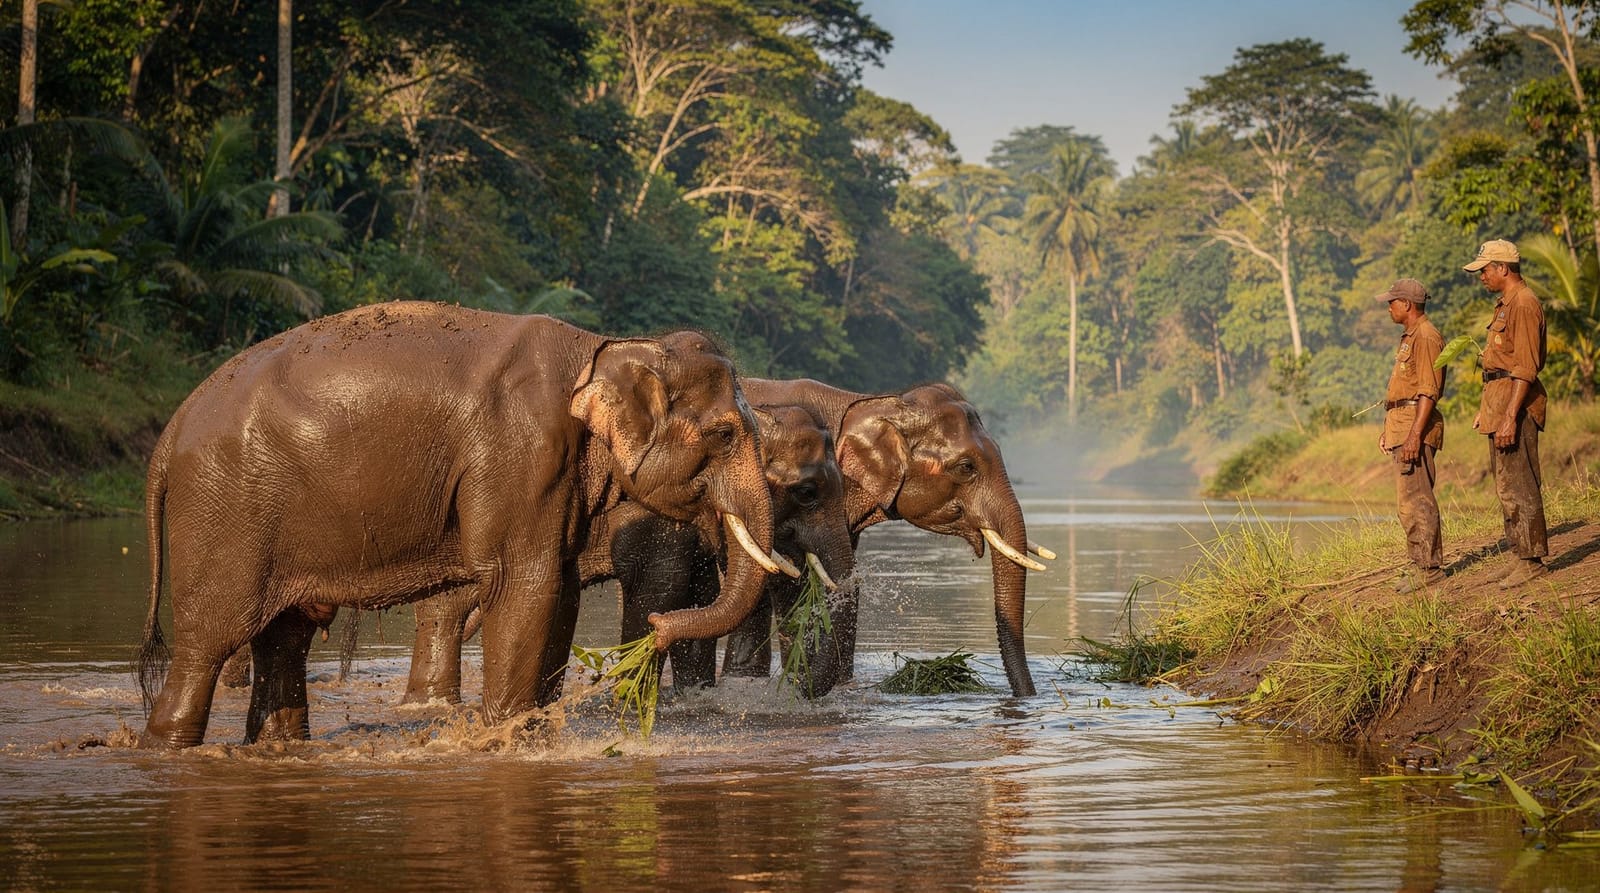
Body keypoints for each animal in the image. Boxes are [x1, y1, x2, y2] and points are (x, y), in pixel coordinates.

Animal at [135, 301, 778, 748]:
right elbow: (524, 587)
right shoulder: (522, 451)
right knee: (209, 643)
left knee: (283, 637)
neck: (603, 348)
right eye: (725, 433)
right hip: (225, 510)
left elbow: (561, 592)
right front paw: (503, 741)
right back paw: (167, 746)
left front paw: (533, 736)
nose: (659, 627)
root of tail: (170, 432)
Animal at [399, 403, 856, 703]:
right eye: (807, 492)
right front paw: (631, 689)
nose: (795, 690)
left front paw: (692, 695)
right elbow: (661, 589)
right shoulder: (654, 521)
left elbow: (701, 594)